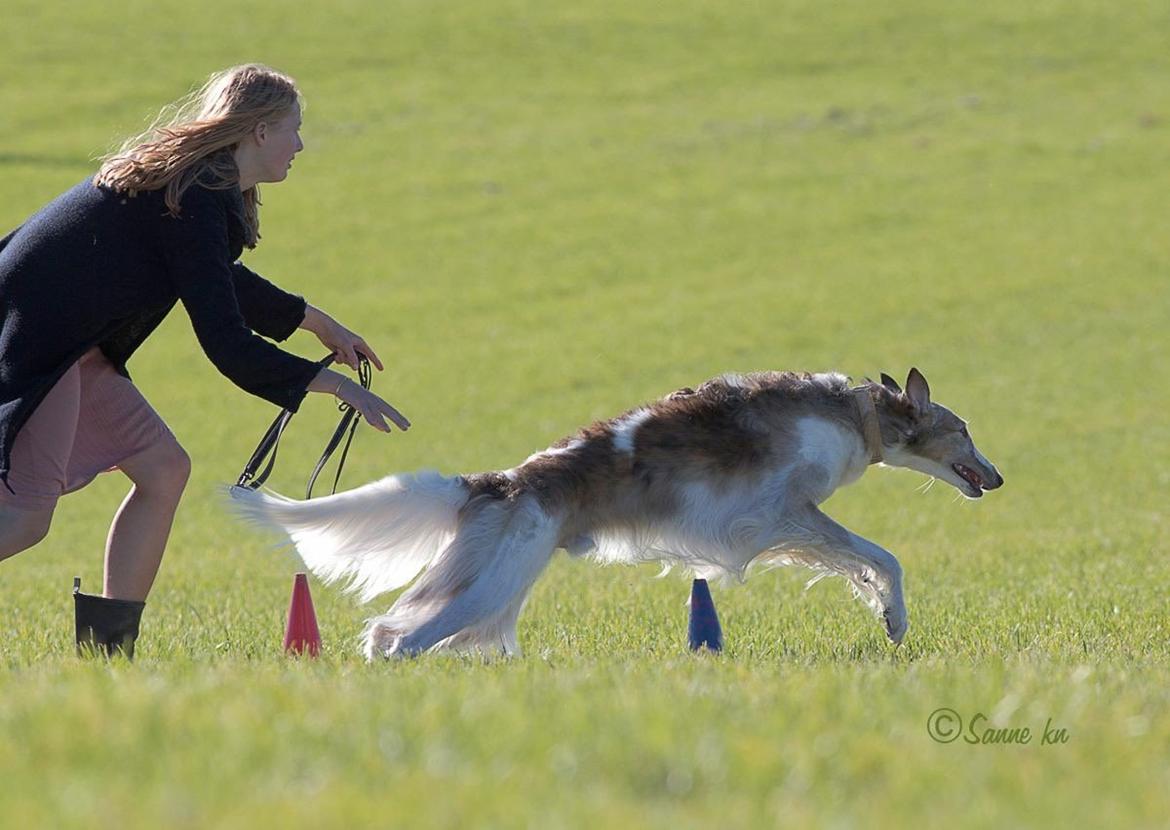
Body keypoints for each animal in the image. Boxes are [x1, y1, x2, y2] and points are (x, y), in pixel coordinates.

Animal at [230, 365, 1006, 655]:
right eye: (965, 430)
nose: (997, 478)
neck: (859, 415)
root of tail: (500, 483)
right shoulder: (783, 512)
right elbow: (882, 558)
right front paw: (894, 620)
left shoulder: (790, 522)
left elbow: (864, 563)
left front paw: (883, 614)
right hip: (492, 582)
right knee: (399, 637)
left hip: (495, 589)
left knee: (395, 633)